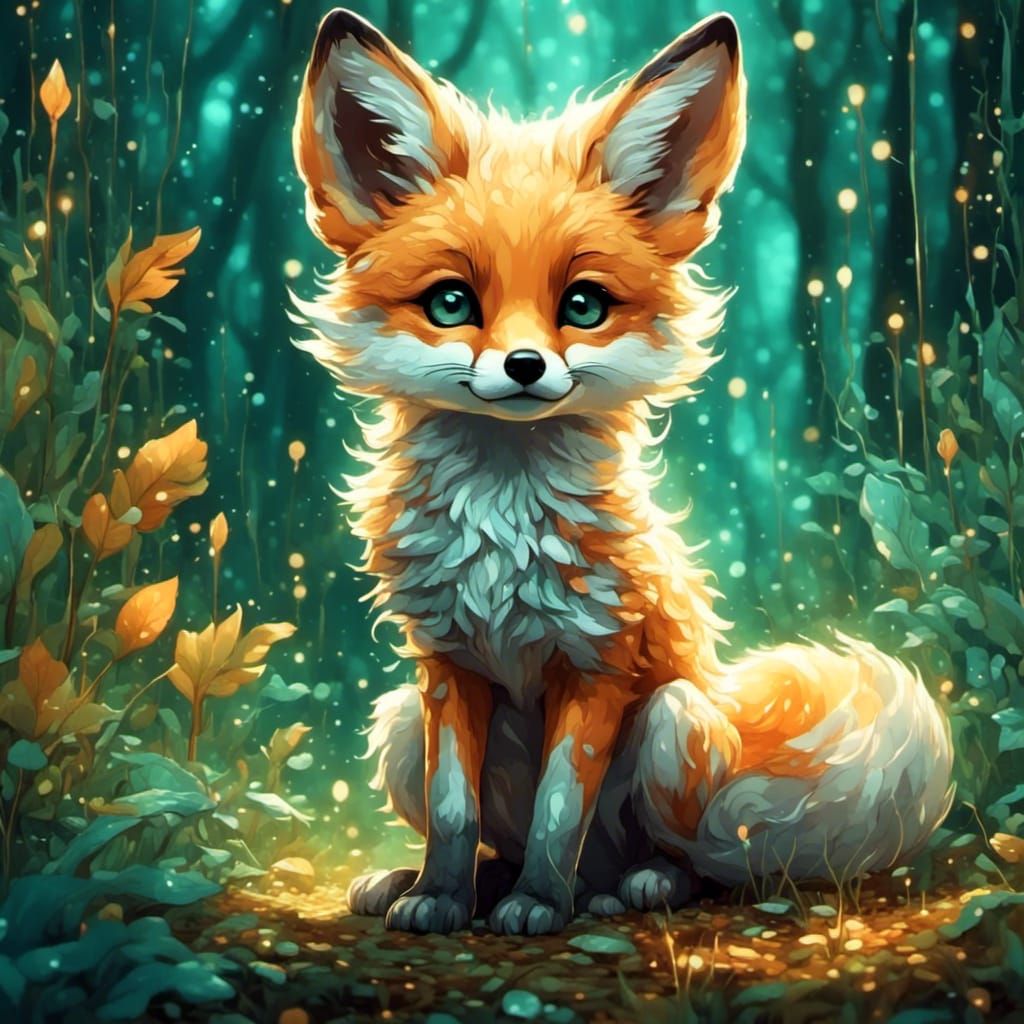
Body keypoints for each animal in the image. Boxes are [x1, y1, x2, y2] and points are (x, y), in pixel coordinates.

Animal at [290, 8, 955, 936]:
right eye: (452, 304)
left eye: (584, 306)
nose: (525, 367)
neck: (503, 525)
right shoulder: (448, 664)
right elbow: (456, 812)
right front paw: (441, 895)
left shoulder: (597, 660)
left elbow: (559, 809)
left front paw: (539, 901)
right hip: (396, 725)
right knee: (490, 831)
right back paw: (448, 885)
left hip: (677, 726)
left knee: (695, 865)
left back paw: (626, 888)